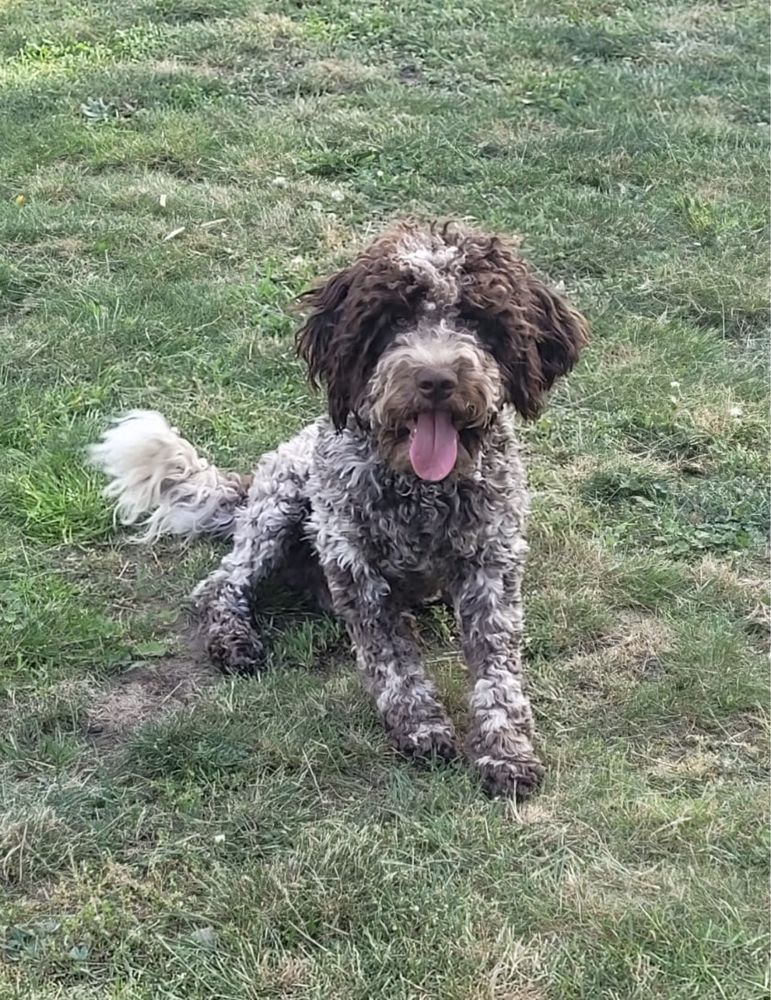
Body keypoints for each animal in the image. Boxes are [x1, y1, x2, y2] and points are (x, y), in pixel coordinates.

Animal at [90, 219, 588, 796]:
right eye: (393, 318)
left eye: (477, 317)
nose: (436, 380)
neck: (422, 491)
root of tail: (250, 486)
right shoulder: (355, 565)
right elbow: (392, 660)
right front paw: (421, 726)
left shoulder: (492, 564)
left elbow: (497, 670)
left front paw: (505, 750)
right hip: (279, 506)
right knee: (221, 584)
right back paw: (233, 637)